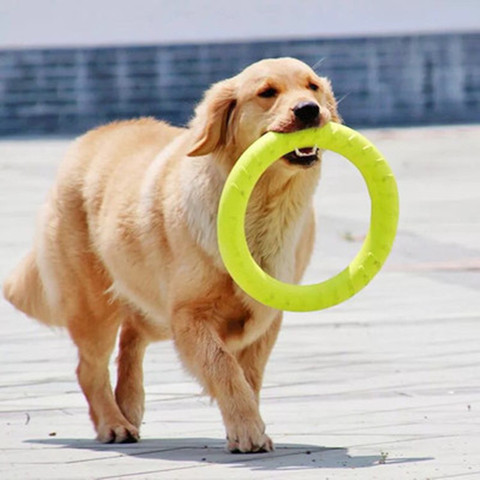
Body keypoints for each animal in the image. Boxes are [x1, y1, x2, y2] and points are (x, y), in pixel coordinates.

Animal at [3, 57, 342, 454]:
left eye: (312, 87)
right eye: (267, 92)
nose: (309, 110)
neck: (261, 208)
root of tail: (85, 140)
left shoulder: (265, 316)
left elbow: (249, 375)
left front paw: (245, 423)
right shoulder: (188, 317)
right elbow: (223, 367)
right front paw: (247, 429)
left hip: (152, 311)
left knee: (131, 335)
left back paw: (130, 403)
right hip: (94, 307)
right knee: (89, 369)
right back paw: (114, 423)